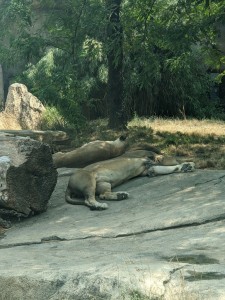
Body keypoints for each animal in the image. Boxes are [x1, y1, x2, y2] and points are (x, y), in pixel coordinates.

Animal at [65, 155, 195, 211]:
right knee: (89, 200)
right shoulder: (146, 164)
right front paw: (186, 165)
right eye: (177, 157)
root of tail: (68, 185)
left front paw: (186, 166)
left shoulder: (148, 169)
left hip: (104, 183)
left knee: (103, 195)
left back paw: (121, 195)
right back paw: (100, 206)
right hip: (89, 180)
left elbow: (164, 168)